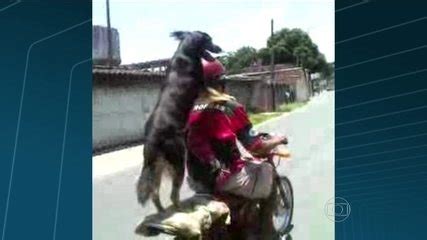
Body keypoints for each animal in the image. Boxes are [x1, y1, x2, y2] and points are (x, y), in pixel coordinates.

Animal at [138, 31, 224, 212]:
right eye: (209, 40)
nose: (220, 48)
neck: (185, 51)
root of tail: (151, 139)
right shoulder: (202, 86)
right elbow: (215, 93)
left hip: (158, 167)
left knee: (154, 192)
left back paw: (162, 211)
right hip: (178, 161)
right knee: (173, 194)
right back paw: (183, 209)